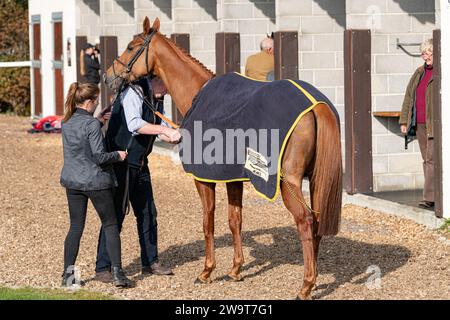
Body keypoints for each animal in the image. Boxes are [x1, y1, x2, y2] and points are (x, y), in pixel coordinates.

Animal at [105, 17, 342, 300]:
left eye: (131, 47)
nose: (108, 76)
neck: (197, 94)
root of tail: (315, 105)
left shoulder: (203, 179)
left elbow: (208, 222)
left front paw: (207, 271)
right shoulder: (233, 178)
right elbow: (234, 220)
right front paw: (235, 269)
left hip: (289, 183)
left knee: (305, 222)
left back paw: (306, 285)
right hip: (316, 180)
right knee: (316, 222)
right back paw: (314, 275)